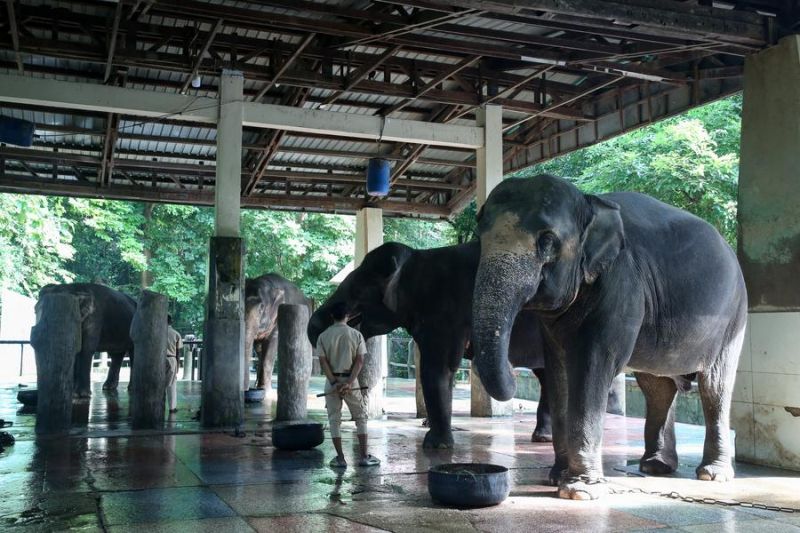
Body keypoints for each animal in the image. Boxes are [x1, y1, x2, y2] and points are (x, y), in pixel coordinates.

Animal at [308, 241, 556, 448]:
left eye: (356, 289)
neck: (415, 259)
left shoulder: (442, 311)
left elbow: (436, 368)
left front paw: (436, 446)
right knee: (547, 375)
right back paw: (543, 437)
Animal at [472, 175, 748, 498]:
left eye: (548, 241)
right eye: (480, 238)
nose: (514, 373)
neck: (589, 202)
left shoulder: (622, 283)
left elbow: (593, 366)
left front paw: (578, 490)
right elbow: (559, 370)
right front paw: (557, 478)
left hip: (734, 315)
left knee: (714, 386)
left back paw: (711, 475)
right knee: (657, 388)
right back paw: (655, 466)